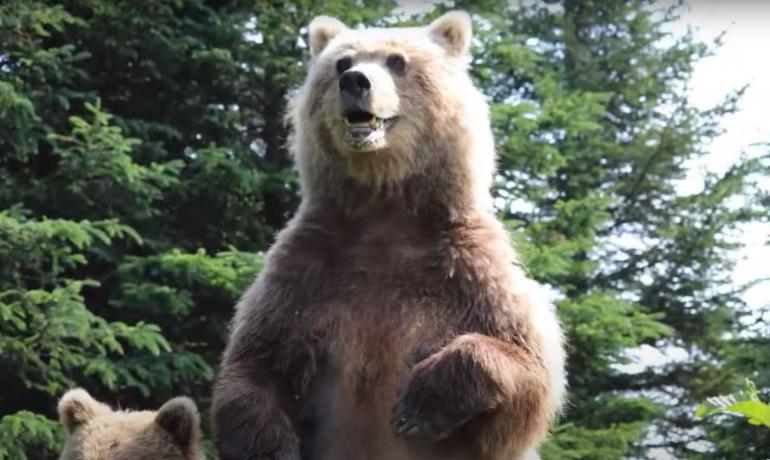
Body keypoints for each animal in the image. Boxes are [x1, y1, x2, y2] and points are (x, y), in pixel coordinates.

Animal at [212, 10, 566, 460]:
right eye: (342, 62)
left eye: (397, 61)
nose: (355, 81)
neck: (385, 213)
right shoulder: (304, 270)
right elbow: (254, 366)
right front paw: (273, 448)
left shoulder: (470, 270)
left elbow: (528, 372)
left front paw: (418, 404)